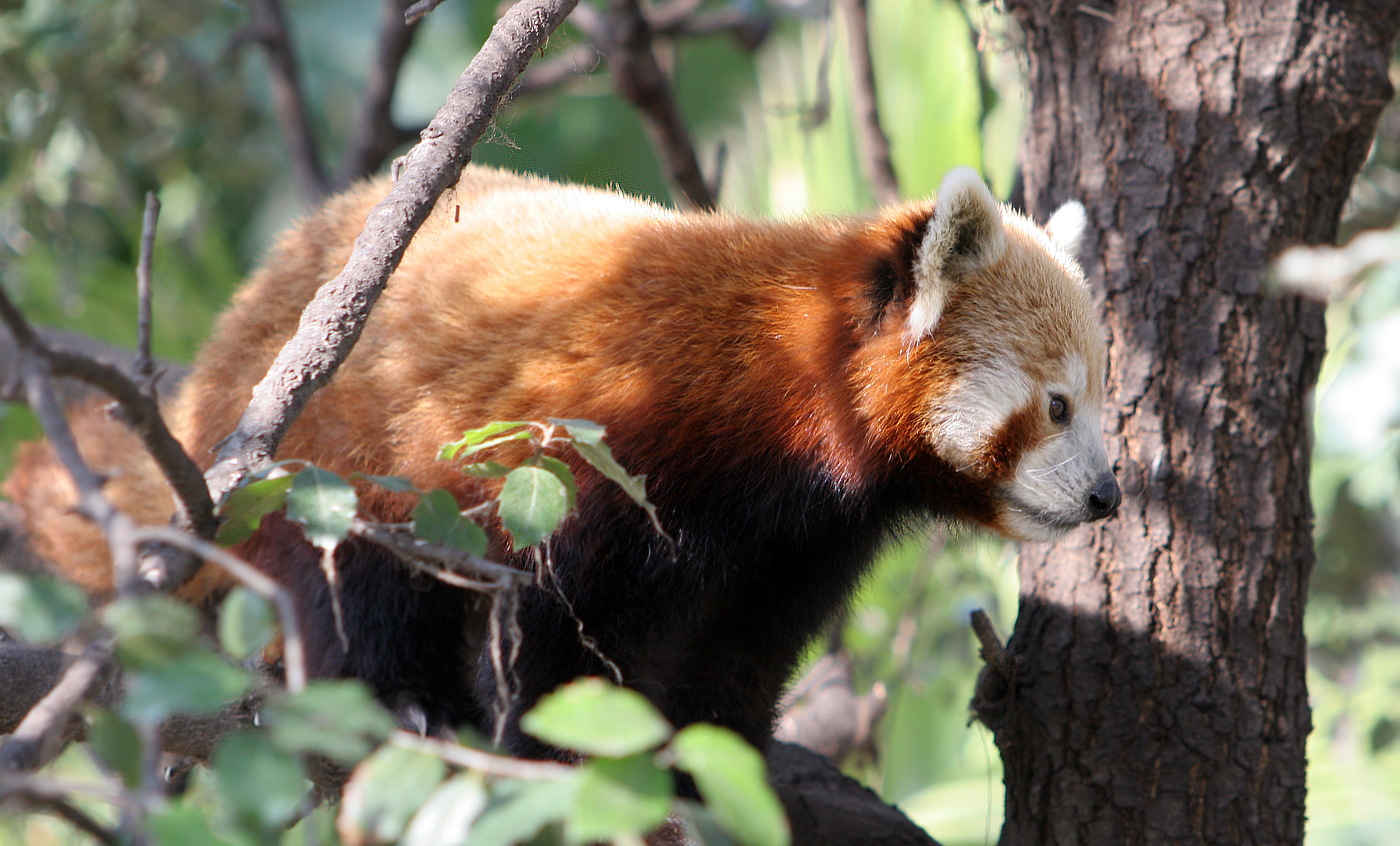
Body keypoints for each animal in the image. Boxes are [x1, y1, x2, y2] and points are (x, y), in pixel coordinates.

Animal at [2, 163, 1114, 750]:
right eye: (1056, 407)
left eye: (1105, 404)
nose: (1107, 495)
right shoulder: (605, 453)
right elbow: (553, 620)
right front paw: (555, 739)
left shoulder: (798, 545)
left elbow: (738, 652)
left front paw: (717, 750)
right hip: (334, 453)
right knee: (356, 579)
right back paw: (402, 697)